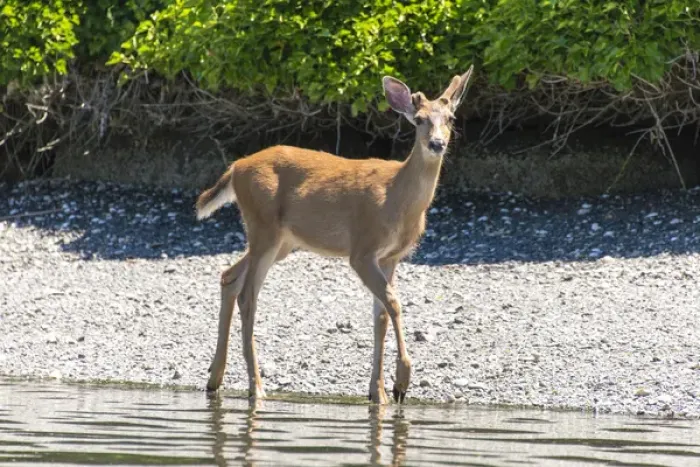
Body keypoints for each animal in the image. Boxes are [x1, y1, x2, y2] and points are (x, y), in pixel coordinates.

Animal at [196, 65, 474, 404]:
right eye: (419, 119)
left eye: (451, 118)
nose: (436, 144)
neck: (397, 199)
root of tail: (236, 168)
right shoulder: (362, 249)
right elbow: (393, 303)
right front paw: (401, 382)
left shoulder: (392, 257)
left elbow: (380, 316)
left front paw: (378, 392)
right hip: (264, 226)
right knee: (248, 295)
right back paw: (256, 387)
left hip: (282, 240)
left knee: (230, 276)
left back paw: (215, 379)